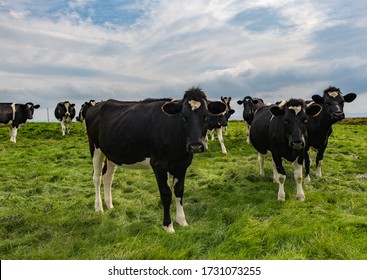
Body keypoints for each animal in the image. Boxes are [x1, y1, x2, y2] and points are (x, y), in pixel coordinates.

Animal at [86, 87, 227, 232]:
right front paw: (168, 226)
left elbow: (179, 191)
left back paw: (110, 205)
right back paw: (99, 208)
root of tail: (98, 105)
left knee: (108, 177)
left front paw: (182, 221)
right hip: (95, 147)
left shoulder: (182, 164)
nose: (196, 146)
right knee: (97, 177)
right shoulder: (159, 164)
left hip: (112, 153)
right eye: (183, 117)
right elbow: (166, 194)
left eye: (206, 116)